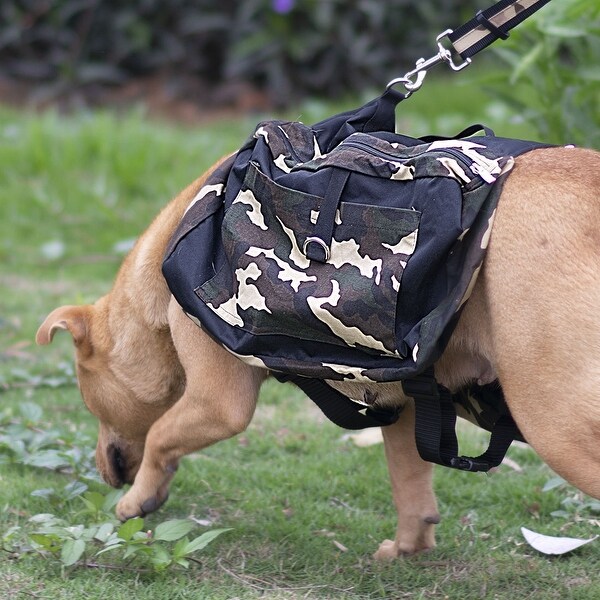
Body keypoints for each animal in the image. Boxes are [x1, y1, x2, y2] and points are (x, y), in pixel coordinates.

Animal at [36, 148, 600, 560]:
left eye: (88, 401)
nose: (102, 470)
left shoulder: (219, 404)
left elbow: (158, 436)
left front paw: (137, 501)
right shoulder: (405, 402)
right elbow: (410, 481)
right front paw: (408, 547)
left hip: (558, 426)